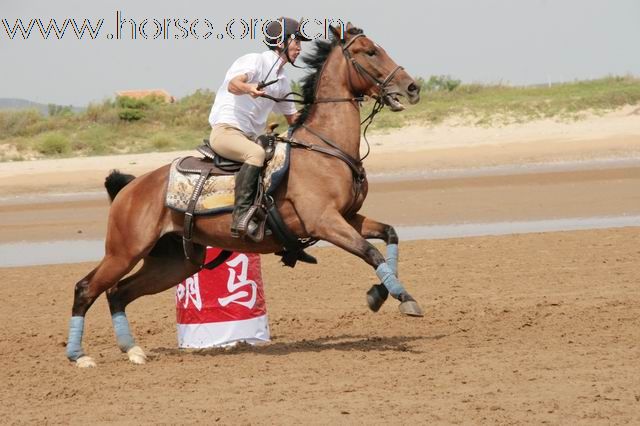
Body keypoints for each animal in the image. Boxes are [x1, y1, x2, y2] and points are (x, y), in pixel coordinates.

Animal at [66, 21, 424, 366]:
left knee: (119, 292)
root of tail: (130, 188)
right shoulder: (325, 221)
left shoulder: (348, 217)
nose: (412, 87)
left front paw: (382, 294)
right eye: (370, 52)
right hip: (124, 252)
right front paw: (404, 298)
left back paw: (133, 350)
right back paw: (79, 356)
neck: (325, 147)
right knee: (87, 288)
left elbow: (389, 236)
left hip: (176, 263)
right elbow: (370, 252)